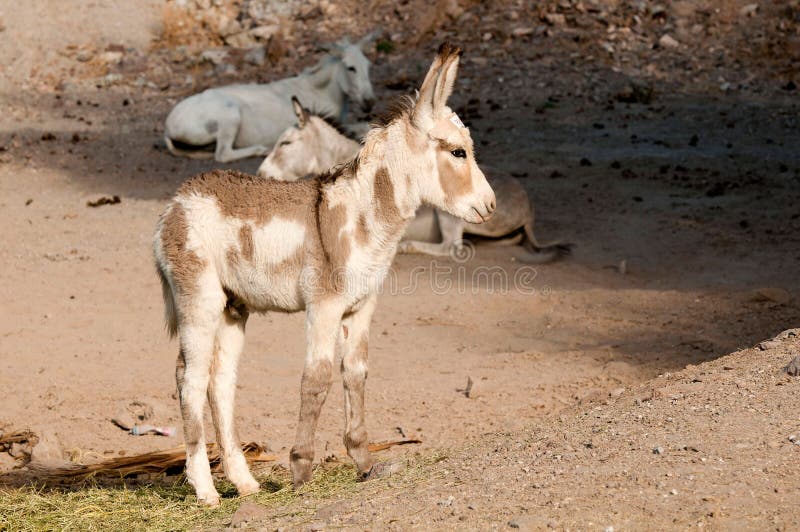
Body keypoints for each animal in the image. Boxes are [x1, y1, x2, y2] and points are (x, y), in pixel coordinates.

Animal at [153, 43, 494, 504]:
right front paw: (301, 469)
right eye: (459, 152)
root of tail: (176, 201)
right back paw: (205, 491)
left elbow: (356, 374)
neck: (362, 214)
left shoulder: (361, 307)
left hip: (232, 307)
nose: (490, 206)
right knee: (189, 380)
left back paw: (244, 483)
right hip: (199, 301)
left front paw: (363, 461)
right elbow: (316, 379)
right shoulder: (324, 307)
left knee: (219, 381)